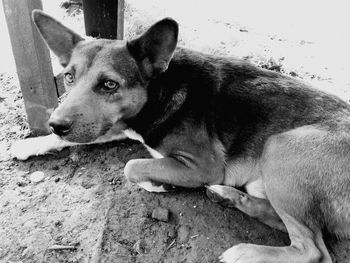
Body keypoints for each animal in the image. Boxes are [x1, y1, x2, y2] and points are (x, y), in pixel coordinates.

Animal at [8, 9, 350, 262]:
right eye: (69, 77)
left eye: (109, 84)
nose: (56, 123)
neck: (160, 89)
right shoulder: (113, 124)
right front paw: (32, 143)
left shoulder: (204, 166)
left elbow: (131, 166)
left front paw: (157, 183)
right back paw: (231, 198)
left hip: (280, 146)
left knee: (314, 251)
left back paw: (244, 251)